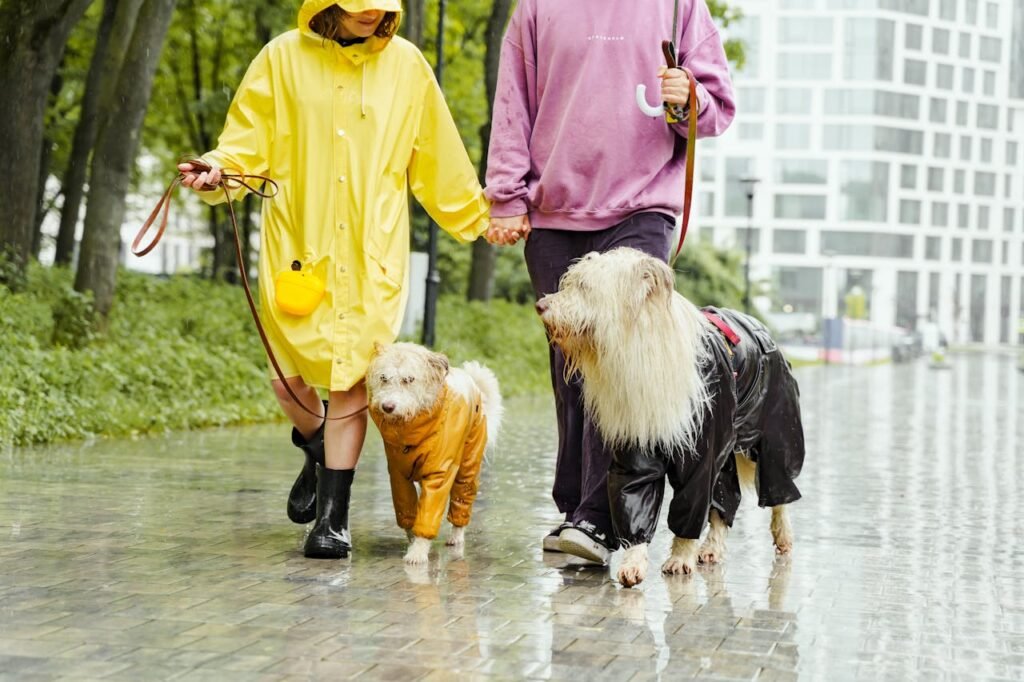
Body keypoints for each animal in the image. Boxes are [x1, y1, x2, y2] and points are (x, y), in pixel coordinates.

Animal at [366, 342, 501, 565]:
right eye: (384, 378)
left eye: (409, 379)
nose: (388, 407)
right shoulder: (398, 475)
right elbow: (409, 510)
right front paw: (414, 541)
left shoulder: (439, 473)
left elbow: (430, 510)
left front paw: (418, 552)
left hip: (468, 466)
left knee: (461, 500)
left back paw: (456, 536)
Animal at [532, 246, 802, 585]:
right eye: (569, 283)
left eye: (585, 287)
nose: (541, 306)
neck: (638, 347)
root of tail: (760, 324)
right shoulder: (635, 438)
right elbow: (634, 494)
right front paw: (634, 561)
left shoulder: (702, 449)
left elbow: (690, 504)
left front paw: (680, 557)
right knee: (725, 498)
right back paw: (712, 547)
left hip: (775, 427)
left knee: (778, 486)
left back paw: (783, 534)